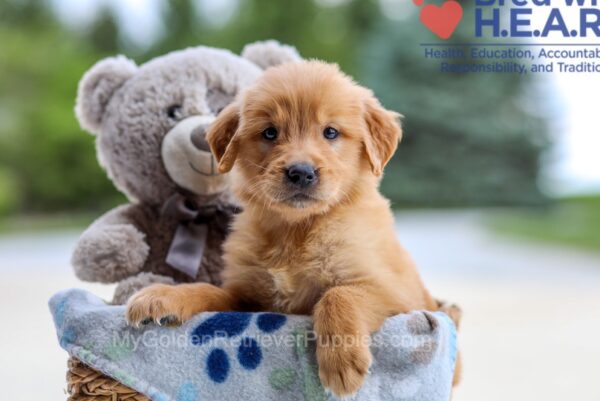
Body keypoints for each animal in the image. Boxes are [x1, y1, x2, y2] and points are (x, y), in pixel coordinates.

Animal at [124, 61, 458, 396]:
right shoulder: (247, 297)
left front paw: (342, 361)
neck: (296, 230)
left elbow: (338, 294)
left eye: (330, 132)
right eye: (270, 132)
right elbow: (208, 289)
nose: (301, 172)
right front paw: (163, 296)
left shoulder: (395, 294)